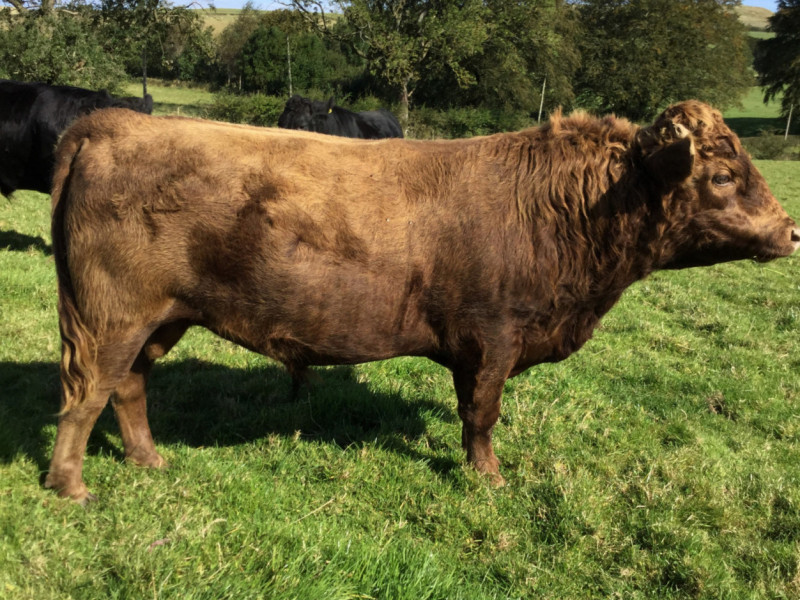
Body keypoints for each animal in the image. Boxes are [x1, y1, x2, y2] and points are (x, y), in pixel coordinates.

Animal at [44, 101, 799, 503]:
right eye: (723, 176)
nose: (792, 230)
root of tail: (112, 123)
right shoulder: (494, 339)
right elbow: (483, 416)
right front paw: (489, 479)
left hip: (162, 319)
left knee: (130, 387)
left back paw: (148, 460)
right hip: (112, 318)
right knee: (86, 394)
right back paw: (70, 484)